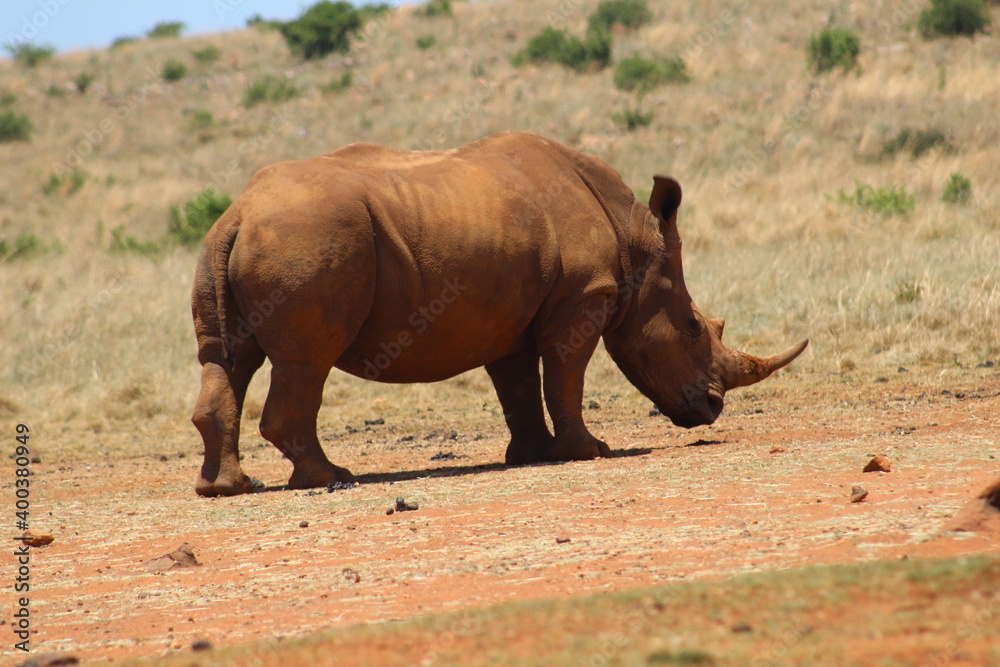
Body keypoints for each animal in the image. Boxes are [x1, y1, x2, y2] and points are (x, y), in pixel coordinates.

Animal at [190, 131, 807, 496]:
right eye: (694, 328)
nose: (712, 409)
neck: (634, 242)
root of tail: (238, 214)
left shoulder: (510, 315)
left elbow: (518, 387)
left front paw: (530, 457)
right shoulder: (583, 296)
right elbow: (564, 378)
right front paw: (587, 452)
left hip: (246, 244)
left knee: (230, 360)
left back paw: (228, 488)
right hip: (308, 239)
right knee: (306, 361)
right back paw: (331, 480)